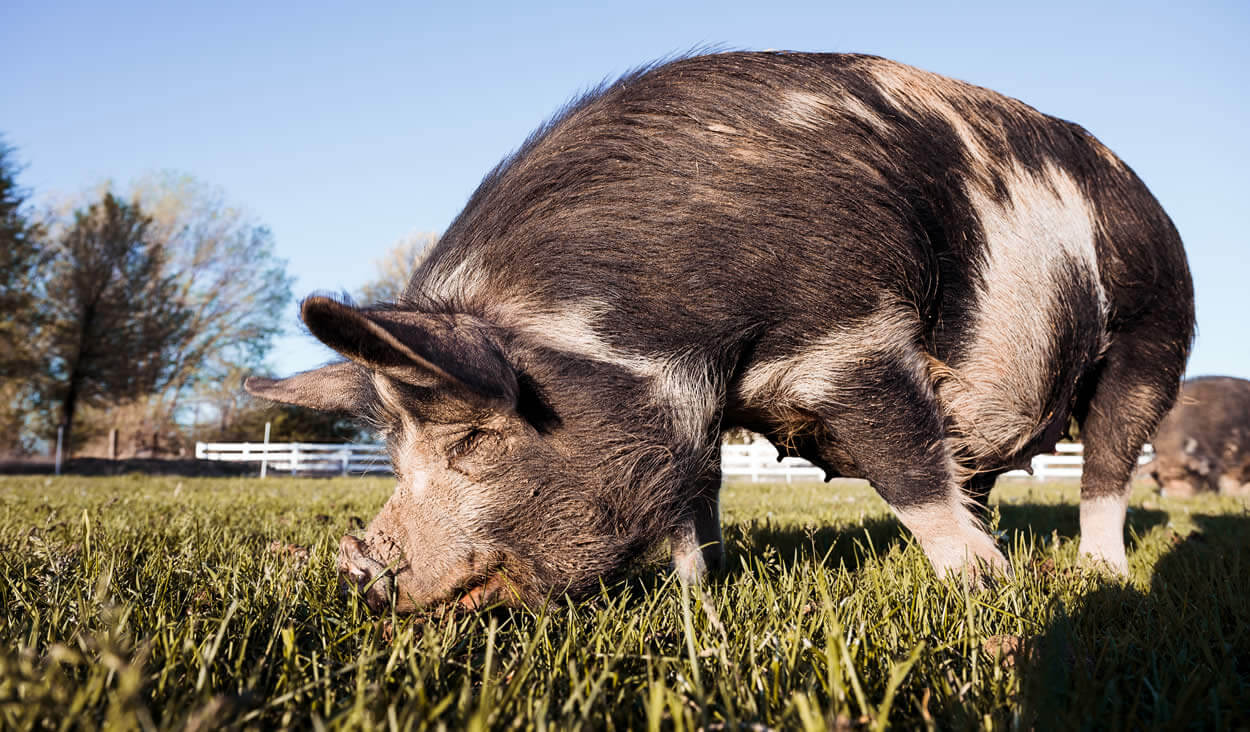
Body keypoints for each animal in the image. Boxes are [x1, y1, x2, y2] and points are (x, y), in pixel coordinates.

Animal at [243, 52, 1190, 609]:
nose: (360, 573)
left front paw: (982, 593)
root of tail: (1150, 198)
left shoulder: (854, 340)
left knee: (1107, 465)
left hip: (1155, 337)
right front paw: (699, 598)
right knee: (983, 474)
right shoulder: (695, 400)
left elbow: (908, 471)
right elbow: (696, 497)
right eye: (391, 451)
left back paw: (1101, 578)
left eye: (474, 441)